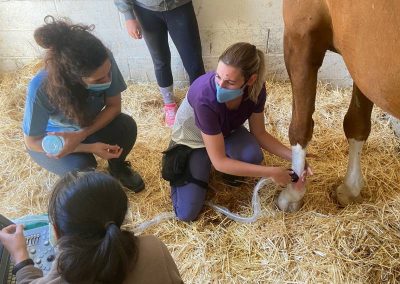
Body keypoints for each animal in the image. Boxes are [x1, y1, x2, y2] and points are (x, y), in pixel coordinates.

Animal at [276, 0, 400, 212]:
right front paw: (350, 188)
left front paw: (293, 194)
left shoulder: (300, 32)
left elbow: (301, 127)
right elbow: (357, 124)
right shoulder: (361, 64)